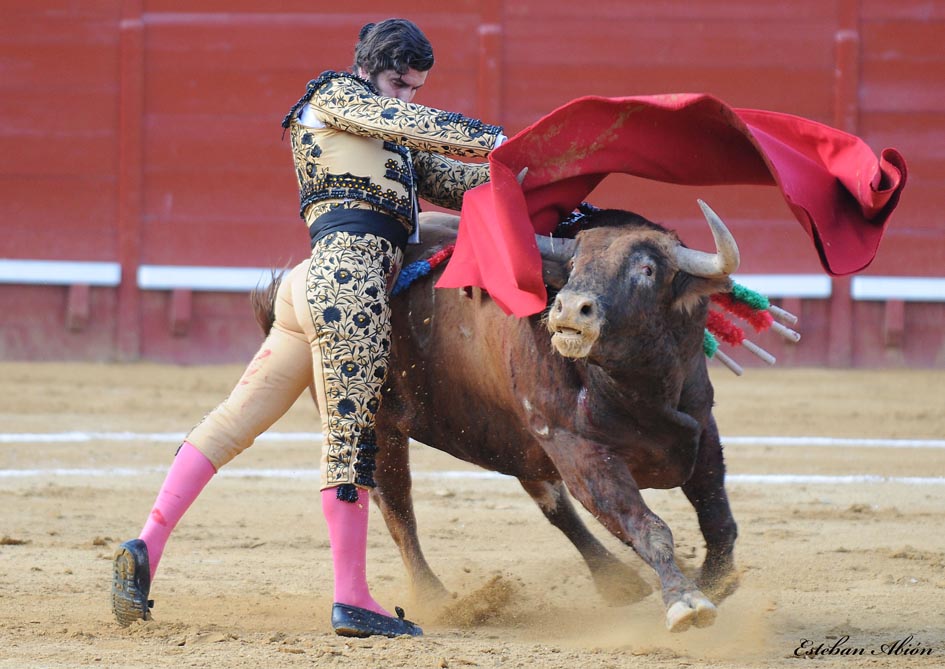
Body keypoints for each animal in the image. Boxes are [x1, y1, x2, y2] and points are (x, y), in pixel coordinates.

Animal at [255, 201, 741, 632]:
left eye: (648, 269)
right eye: (575, 263)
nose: (569, 309)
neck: (637, 386)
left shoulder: (702, 428)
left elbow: (717, 515)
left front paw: (716, 581)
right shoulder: (578, 449)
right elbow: (644, 523)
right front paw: (686, 601)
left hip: (513, 436)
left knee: (550, 502)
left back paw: (617, 581)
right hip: (379, 426)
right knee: (395, 507)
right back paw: (437, 600)